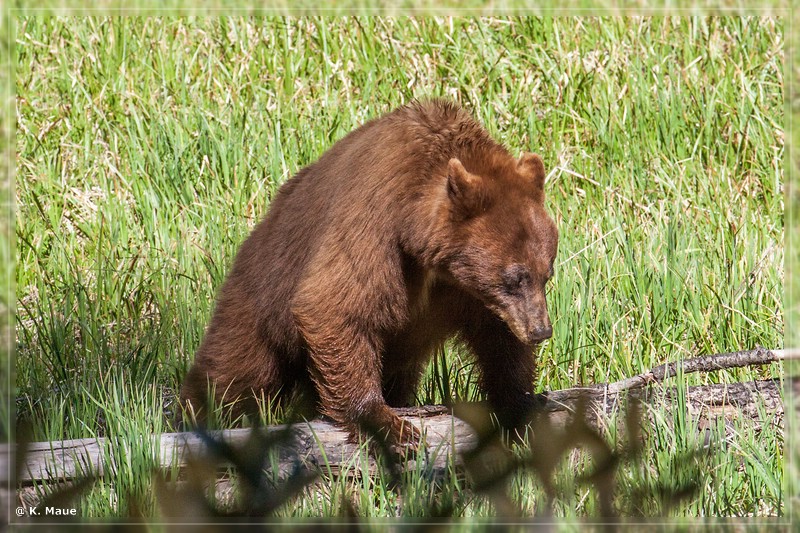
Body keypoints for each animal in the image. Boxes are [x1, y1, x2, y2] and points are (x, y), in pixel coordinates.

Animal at [180, 98, 556, 444]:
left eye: (546, 274)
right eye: (513, 278)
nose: (541, 330)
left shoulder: (466, 292)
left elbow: (498, 337)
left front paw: (521, 403)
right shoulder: (375, 229)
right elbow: (334, 305)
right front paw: (388, 426)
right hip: (260, 296)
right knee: (235, 371)